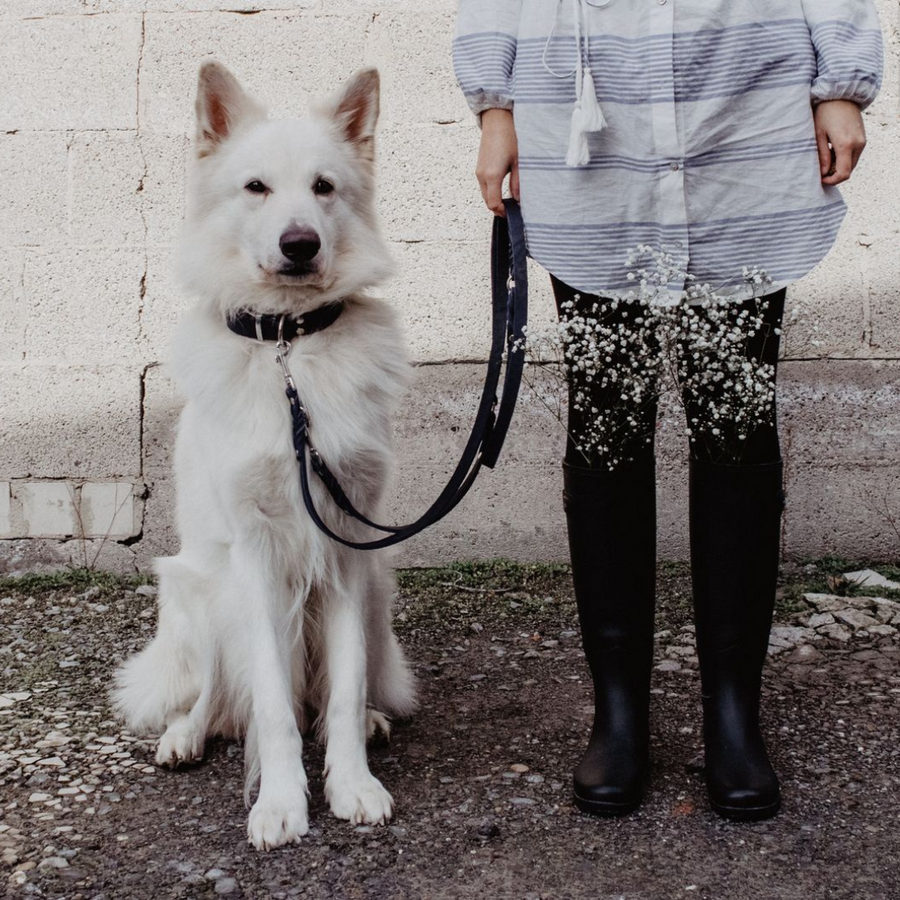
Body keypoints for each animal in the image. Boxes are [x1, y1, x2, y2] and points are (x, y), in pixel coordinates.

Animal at [113, 59, 418, 848]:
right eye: (255, 188)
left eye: (323, 187)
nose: (300, 244)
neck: (289, 346)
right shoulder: (254, 560)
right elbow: (275, 708)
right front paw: (281, 803)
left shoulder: (344, 552)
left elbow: (341, 692)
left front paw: (352, 784)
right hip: (202, 593)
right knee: (220, 695)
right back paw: (187, 734)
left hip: (377, 591)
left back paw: (371, 722)